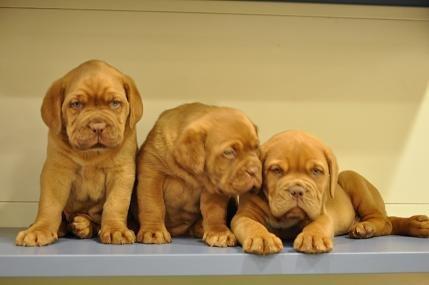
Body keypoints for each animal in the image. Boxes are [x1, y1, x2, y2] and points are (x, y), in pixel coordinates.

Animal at [15, 60, 143, 246]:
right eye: (76, 104)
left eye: (114, 103)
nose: (98, 126)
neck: (90, 154)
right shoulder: (57, 171)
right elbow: (49, 204)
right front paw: (40, 230)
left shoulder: (121, 172)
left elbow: (116, 203)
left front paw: (115, 230)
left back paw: (84, 226)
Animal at [134, 102, 260, 246]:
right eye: (228, 152)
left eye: (256, 147)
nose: (254, 170)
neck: (190, 173)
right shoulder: (152, 172)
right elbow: (153, 203)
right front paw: (153, 231)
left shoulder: (215, 187)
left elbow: (214, 211)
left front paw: (219, 232)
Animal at [232, 130, 426, 254]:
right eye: (276, 170)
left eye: (316, 171)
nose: (297, 190)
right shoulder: (243, 215)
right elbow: (250, 224)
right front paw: (261, 238)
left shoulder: (321, 213)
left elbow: (318, 224)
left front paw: (312, 238)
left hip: (351, 177)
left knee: (384, 222)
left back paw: (366, 228)